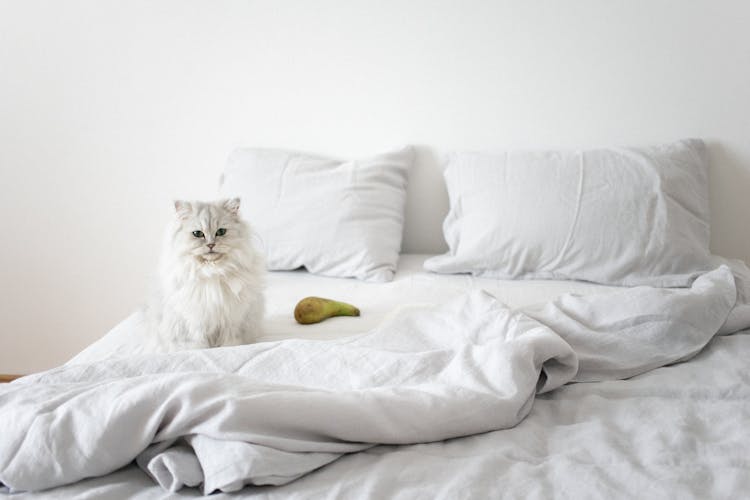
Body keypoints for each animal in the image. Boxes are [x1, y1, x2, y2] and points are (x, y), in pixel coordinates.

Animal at [145, 197, 266, 350]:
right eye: (198, 234)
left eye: (221, 232)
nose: (211, 245)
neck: (212, 271)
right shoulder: (196, 321)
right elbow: (199, 343)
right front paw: (200, 349)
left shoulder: (232, 319)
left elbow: (230, 342)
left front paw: (227, 348)